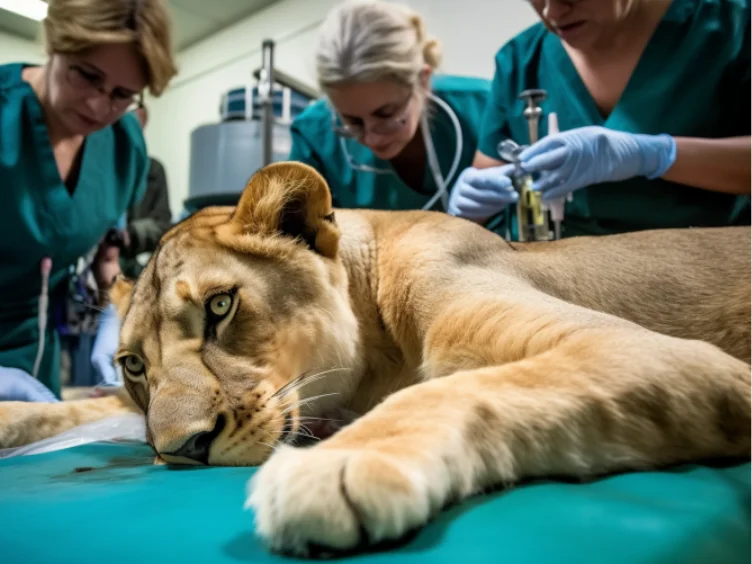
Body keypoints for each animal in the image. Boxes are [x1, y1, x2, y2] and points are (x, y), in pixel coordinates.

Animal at [0, 161, 749, 557]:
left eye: (220, 307)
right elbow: (71, 406)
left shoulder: (643, 348)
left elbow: (448, 389)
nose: (182, 451)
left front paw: (338, 466)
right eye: (131, 366)